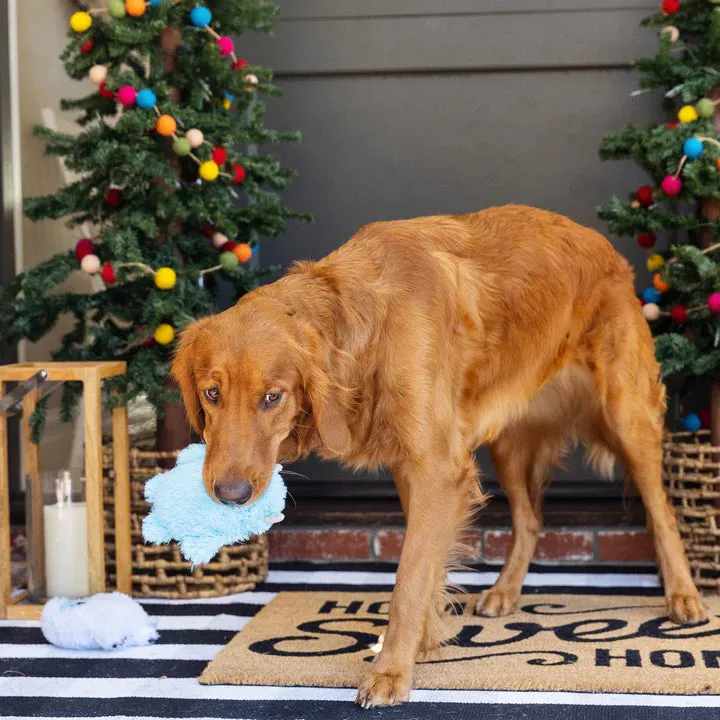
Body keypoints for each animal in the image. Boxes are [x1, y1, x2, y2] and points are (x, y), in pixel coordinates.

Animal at [173, 205, 704, 704]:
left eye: (272, 397)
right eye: (212, 393)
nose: (230, 494)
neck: (366, 319)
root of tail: (604, 246)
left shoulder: (437, 467)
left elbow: (409, 577)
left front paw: (392, 670)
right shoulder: (414, 468)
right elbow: (426, 564)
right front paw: (423, 643)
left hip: (627, 416)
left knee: (661, 510)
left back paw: (684, 596)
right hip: (507, 443)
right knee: (530, 519)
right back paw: (506, 591)